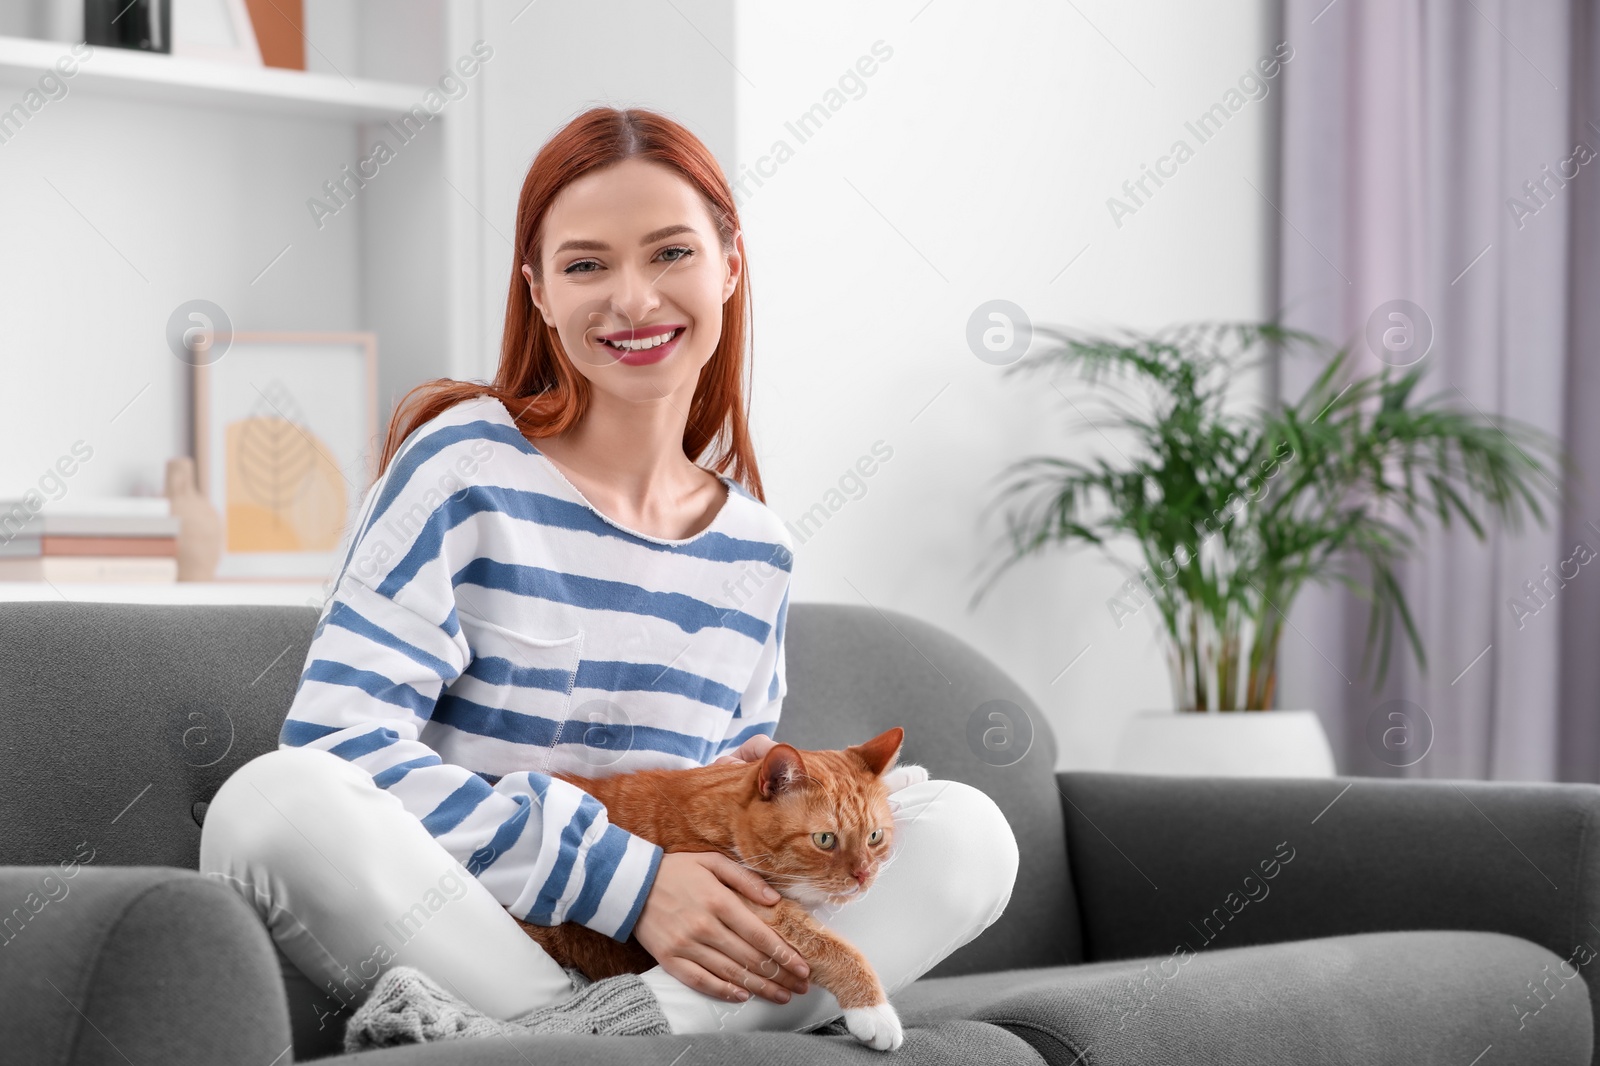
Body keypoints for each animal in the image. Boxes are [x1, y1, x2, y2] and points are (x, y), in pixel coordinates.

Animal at [512, 723, 915, 1043]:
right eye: (825, 840)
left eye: (874, 836)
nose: (864, 874)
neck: (723, 817)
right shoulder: (747, 905)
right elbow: (835, 949)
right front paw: (874, 1010)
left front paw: (904, 778)